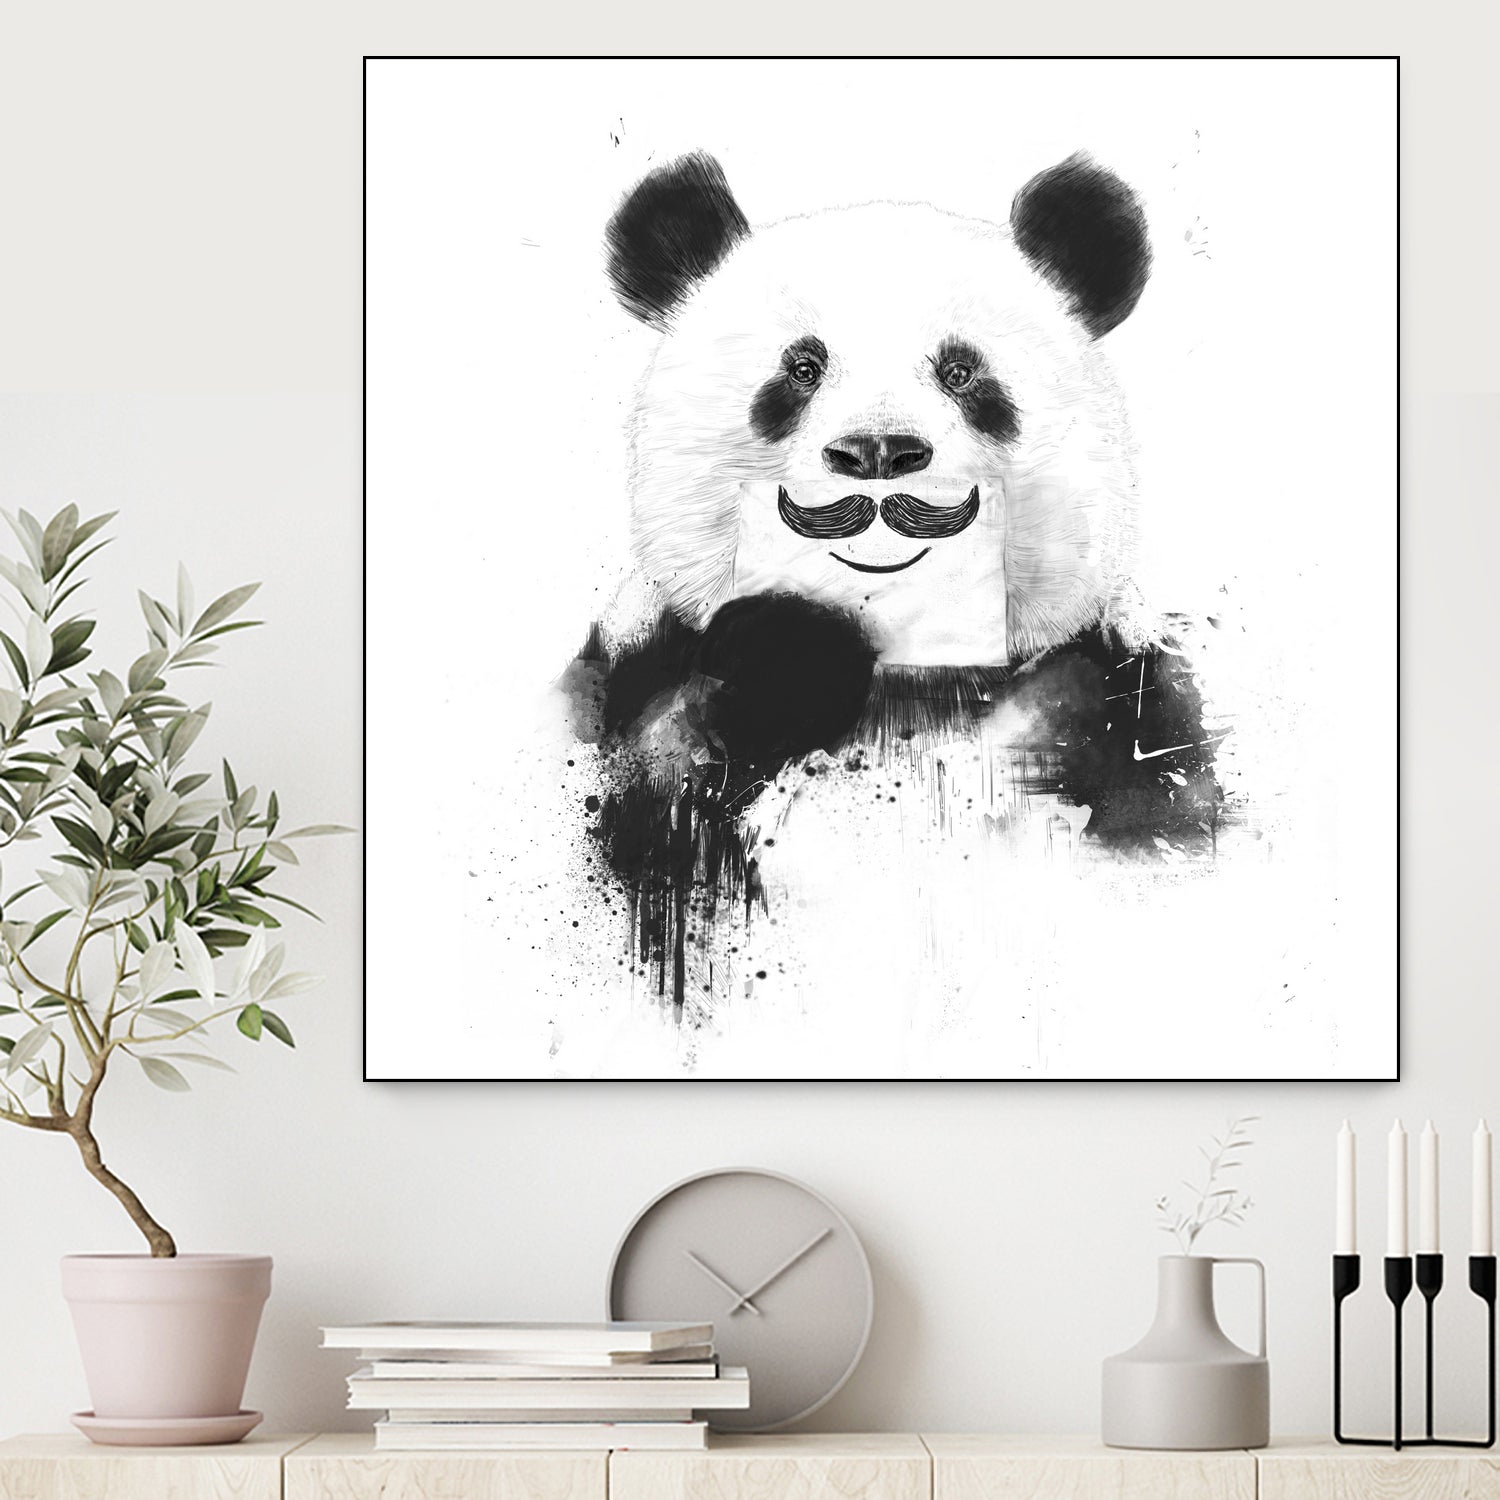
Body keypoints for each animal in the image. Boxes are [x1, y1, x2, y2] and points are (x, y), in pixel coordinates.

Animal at [565, 151, 1222, 1017]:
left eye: (961, 371)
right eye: (802, 368)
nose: (878, 450)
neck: (906, 676)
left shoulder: (1113, 688)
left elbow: (1164, 807)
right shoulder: (629, 678)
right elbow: (652, 800)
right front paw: (787, 654)